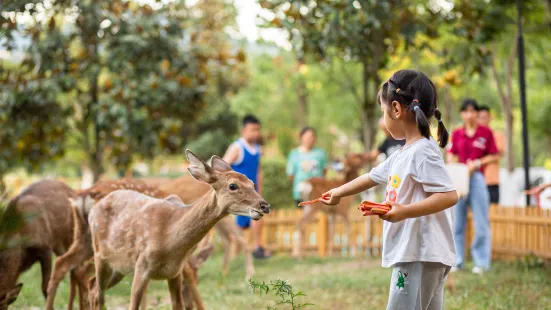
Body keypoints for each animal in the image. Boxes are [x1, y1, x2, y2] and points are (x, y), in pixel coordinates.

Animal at [45, 178, 211, 310]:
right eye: (184, 287)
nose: (189, 306)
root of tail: (83, 195)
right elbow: (187, 273)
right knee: (83, 274)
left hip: (83, 237)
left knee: (64, 265)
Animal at [88, 151, 270, 310]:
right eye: (233, 185)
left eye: (253, 183)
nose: (265, 205)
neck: (170, 239)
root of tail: (92, 209)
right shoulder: (142, 266)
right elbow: (133, 305)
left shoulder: (174, 273)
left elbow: (178, 305)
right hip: (100, 256)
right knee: (98, 294)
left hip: (118, 267)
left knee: (93, 288)